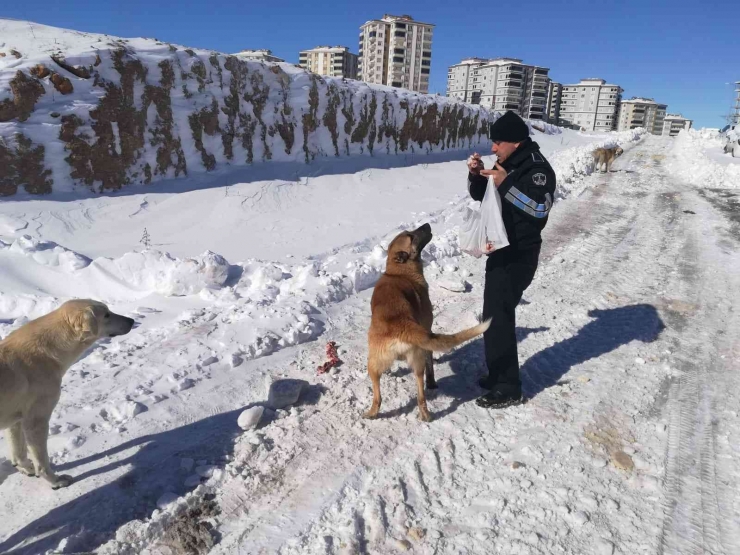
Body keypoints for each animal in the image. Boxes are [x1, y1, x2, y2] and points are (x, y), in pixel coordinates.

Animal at [0, 302, 134, 488]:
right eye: (106, 315)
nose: (132, 320)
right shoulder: (36, 420)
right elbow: (42, 462)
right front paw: (55, 481)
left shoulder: (16, 419)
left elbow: (18, 452)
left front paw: (26, 468)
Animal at [364, 224, 492, 424]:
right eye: (410, 236)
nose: (427, 225)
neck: (398, 271)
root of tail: (400, 326)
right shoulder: (427, 329)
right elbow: (431, 362)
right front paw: (432, 382)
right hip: (417, 362)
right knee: (421, 394)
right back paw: (426, 413)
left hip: (374, 365)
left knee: (379, 397)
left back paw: (373, 413)